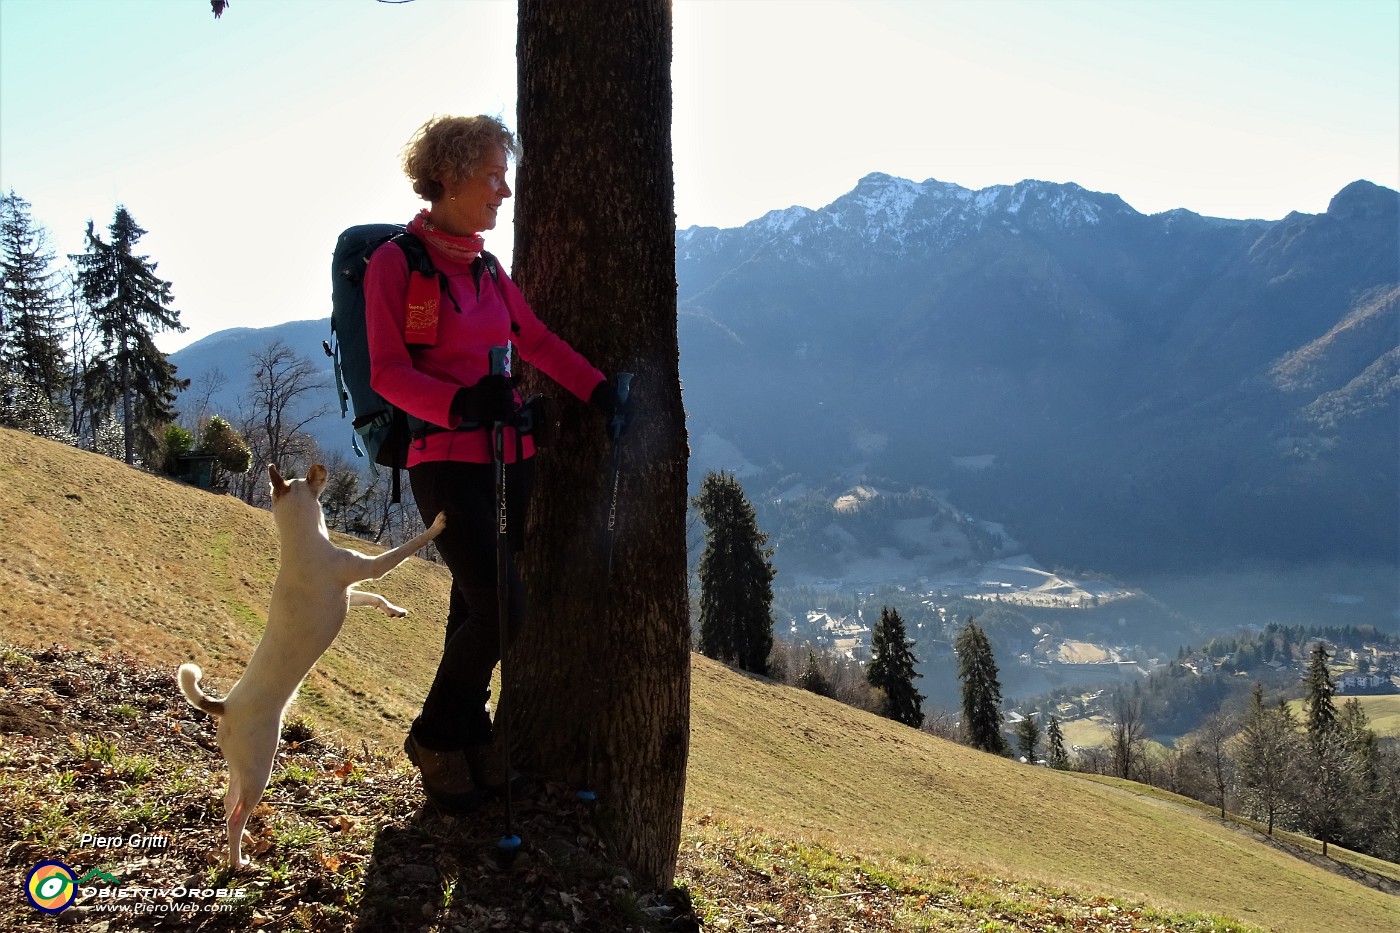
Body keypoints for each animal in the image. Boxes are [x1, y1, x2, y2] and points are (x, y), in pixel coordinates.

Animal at [177, 462, 442, 862]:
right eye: (306, 477)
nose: (322, 467)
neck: (300, 539)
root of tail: (224, 706)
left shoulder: (350, 591)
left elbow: (374, 597)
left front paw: (394, 611)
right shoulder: (367, 567)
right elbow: (404, 551)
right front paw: (439, 524)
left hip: (239, 765)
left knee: (227, 802)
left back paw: (245, 842)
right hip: (260, 765)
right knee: (236, 815)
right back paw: (239, 860)